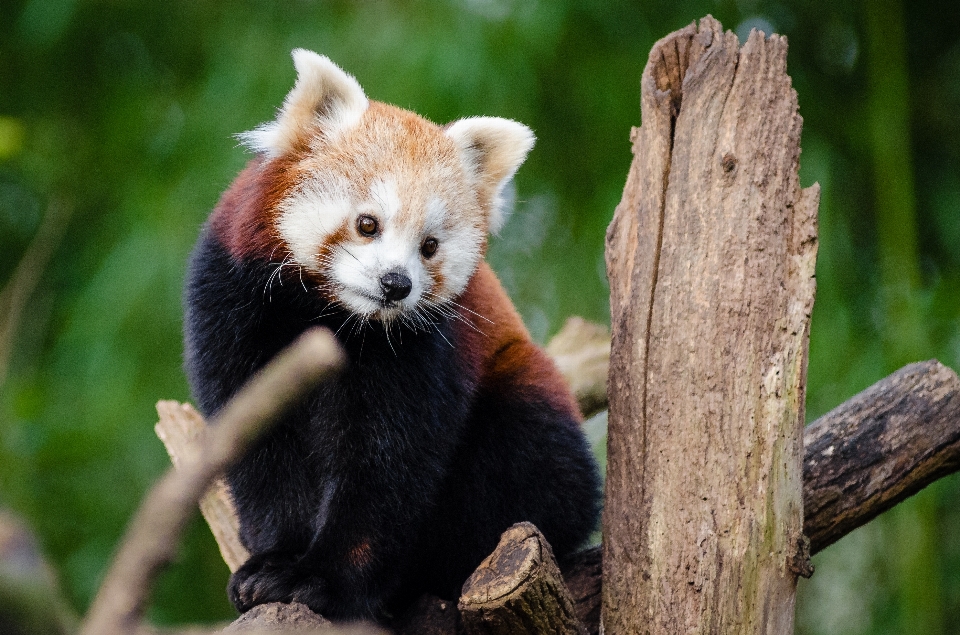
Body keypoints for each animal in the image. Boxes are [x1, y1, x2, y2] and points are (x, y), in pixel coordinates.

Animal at [184, 48, 600, 620]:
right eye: (367, 224)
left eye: (429, 246)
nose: (396, 284)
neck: (331, 315)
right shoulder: (231, 302)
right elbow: (260, 449)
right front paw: (273, 561)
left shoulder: (419, 354)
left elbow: (386, 467)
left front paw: (322, 579)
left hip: (524, 395)